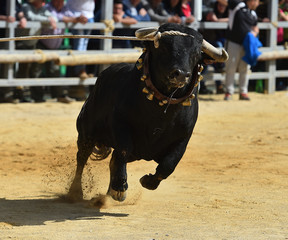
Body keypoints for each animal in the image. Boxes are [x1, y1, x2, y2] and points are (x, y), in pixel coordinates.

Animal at [68, 23, 230, 202]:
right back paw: (76, 191)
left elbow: (169, 164)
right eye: (164, 48)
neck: (162, 108)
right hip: (86, 132)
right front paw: (119, 188)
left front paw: (147, 181)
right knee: (82, 158)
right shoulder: (120, 125)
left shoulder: (183, 138)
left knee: (112, 160)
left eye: (196, 53)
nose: (181, 74)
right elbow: (123, 151)